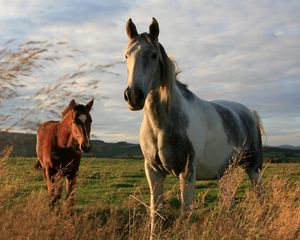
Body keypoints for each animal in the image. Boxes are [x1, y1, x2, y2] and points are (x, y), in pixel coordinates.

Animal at [123, 17, 264, 238]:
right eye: (126, 55)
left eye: (153, 55)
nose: (133, 96)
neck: (161, 126)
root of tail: (249, 112)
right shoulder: (153, 172)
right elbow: (156, 212)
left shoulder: (187, 172)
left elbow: (185, 214)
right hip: (225, 172)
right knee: (229, 201)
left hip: (253, 168)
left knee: (260, 197)